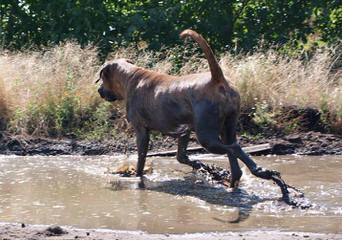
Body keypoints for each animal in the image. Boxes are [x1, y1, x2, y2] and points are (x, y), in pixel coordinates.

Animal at [96, 29, 280, 188]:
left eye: (102, 79)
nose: (99, 90)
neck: (130, 77)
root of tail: (216, 79)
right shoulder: (184, 131)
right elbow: (182, 157)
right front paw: (201, 166)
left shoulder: (141, 131)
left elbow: (141, 159)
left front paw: (137, 176)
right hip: (227, 128)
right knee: (234, 153)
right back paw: (236, 180)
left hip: (206, 137)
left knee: (234, 149)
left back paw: (260, 172)